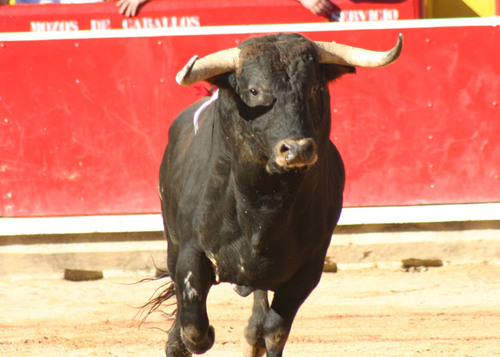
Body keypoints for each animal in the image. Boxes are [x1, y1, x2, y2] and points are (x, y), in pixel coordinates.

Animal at [149, 32, 402, 354]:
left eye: (315, 88)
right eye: (254, 90)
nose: (297, 149)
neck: (262, 204)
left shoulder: (309, 268)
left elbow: (275, 330)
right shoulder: (190, 255)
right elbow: (193, 325)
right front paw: (191, 338)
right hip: (173, 242)